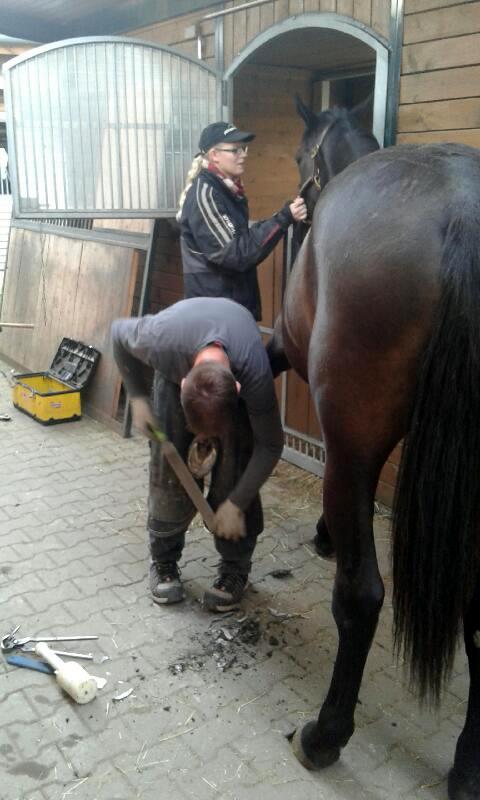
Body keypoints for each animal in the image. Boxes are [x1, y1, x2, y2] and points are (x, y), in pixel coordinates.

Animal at [268, 97, 480, 800]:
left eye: (300, 153)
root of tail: (461, 212)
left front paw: (324, 531)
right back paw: (468, 768)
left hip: (355, 439)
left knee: (361, 597)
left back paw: (324, 736)